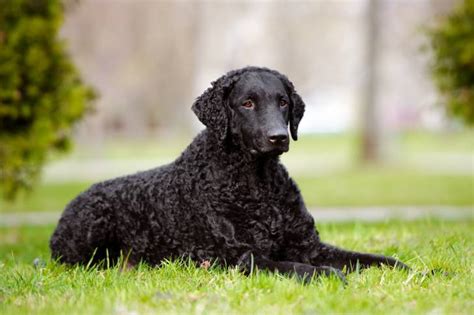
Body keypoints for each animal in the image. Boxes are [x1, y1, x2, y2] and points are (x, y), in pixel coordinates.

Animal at [51, 66, 408, 282]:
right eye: (247, 103)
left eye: (283, 102)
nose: (279, 137)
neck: (258, 183)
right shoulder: (243, 257)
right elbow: (299, 266)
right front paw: (330, 275)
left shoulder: (310, 245)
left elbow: (370, 258)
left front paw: (411, 270)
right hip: (92, 226)